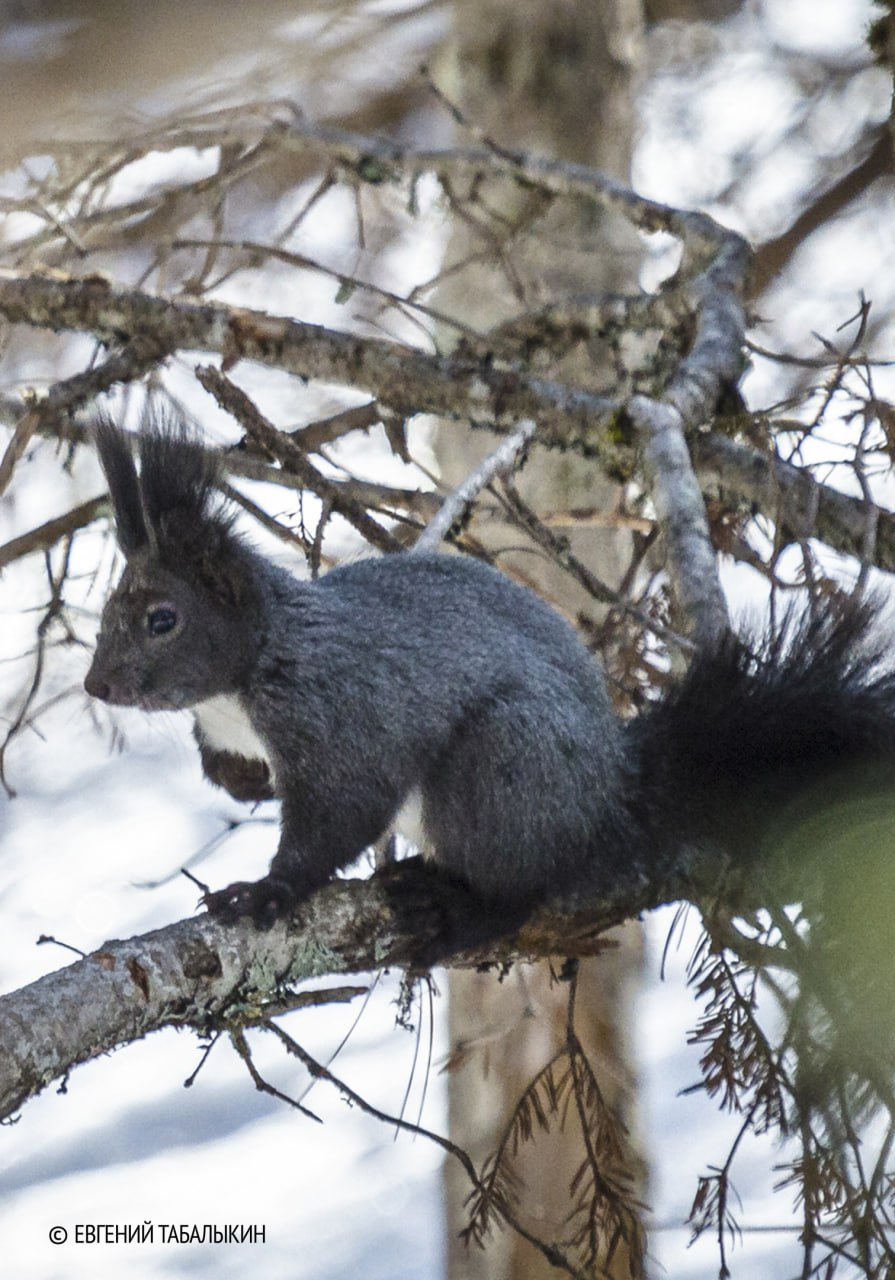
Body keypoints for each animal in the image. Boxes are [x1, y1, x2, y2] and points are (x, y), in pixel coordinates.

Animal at [82, 414, 895, 957]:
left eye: (161, 619)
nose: (96, 685)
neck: (245, 674)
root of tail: (611, 796)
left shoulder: (337, 713)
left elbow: (338, 816)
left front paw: (268, 891)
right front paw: (235, 780)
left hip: (500, 767)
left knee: (521, 890)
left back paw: (455, 914)